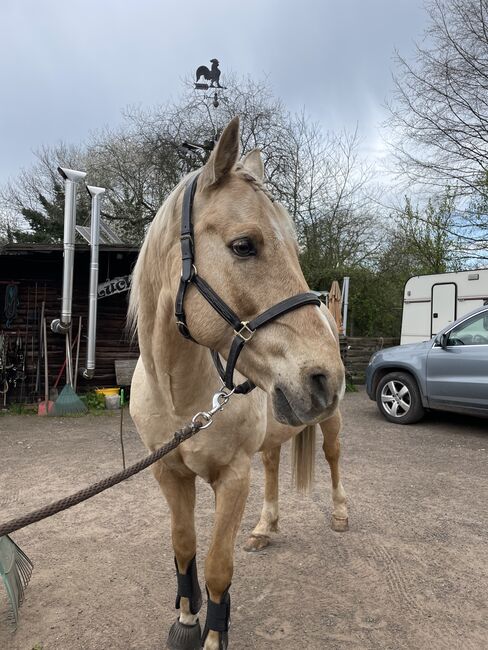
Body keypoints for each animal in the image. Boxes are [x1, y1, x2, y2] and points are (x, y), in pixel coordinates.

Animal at [129, 117, 346, 648]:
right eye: (244, 245)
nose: (324, 376)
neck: (180, 397)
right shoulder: (170, 474)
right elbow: (184, 547)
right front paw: (187, 619)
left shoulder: (231, 478)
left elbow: (217, 567)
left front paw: (213, 633)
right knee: (273, 464)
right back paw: (265, 527)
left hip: (331, 424)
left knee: (333, 459)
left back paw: (339, 513)